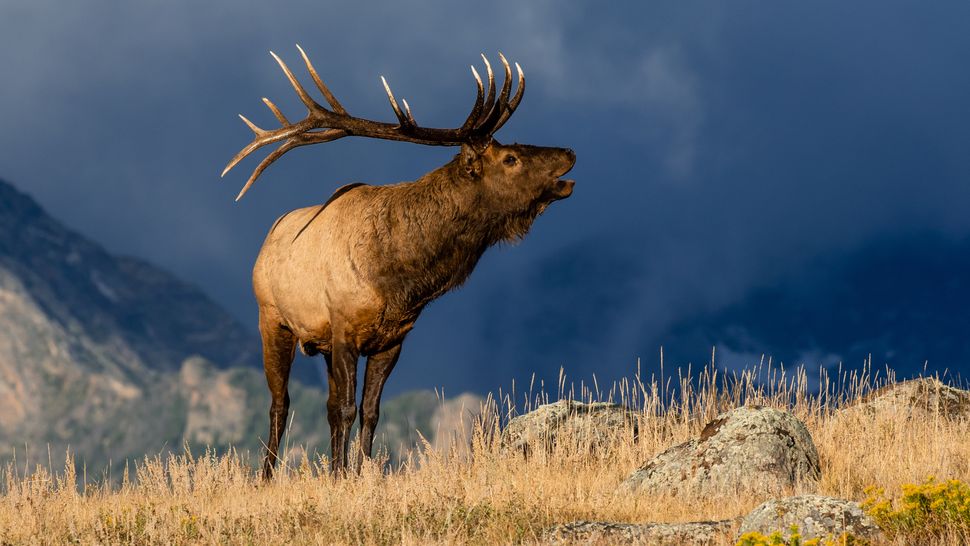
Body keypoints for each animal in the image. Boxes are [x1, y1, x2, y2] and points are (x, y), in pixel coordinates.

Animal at [222, 45, 576, 478]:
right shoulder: (344, 328)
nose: (569, 152)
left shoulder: (392, 339)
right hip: (272, 318)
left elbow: (369, 412)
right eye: (510, 158)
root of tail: (266, 240)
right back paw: (267, 476)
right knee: (280, 404)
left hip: (318, 342)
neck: (399, 280)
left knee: (323, 405)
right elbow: (346, 408)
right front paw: (342, 477)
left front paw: (359, 473)